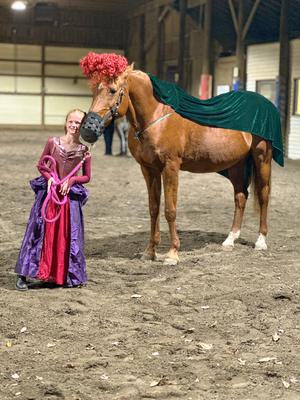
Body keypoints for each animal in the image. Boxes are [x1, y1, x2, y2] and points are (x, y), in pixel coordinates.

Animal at [79, 61, 276, 266]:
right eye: (95, 90)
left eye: (112, 90)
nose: (87, 131)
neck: (156, 117)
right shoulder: (149, 169)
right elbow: (154, 209)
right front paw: (150, 251)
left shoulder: (170, 167)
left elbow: (170, 210)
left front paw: (172, 254)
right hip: (237, 164)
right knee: (240, 197)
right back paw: (230, 239)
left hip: (262, 159)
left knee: (263, 196)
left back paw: (261, 241)